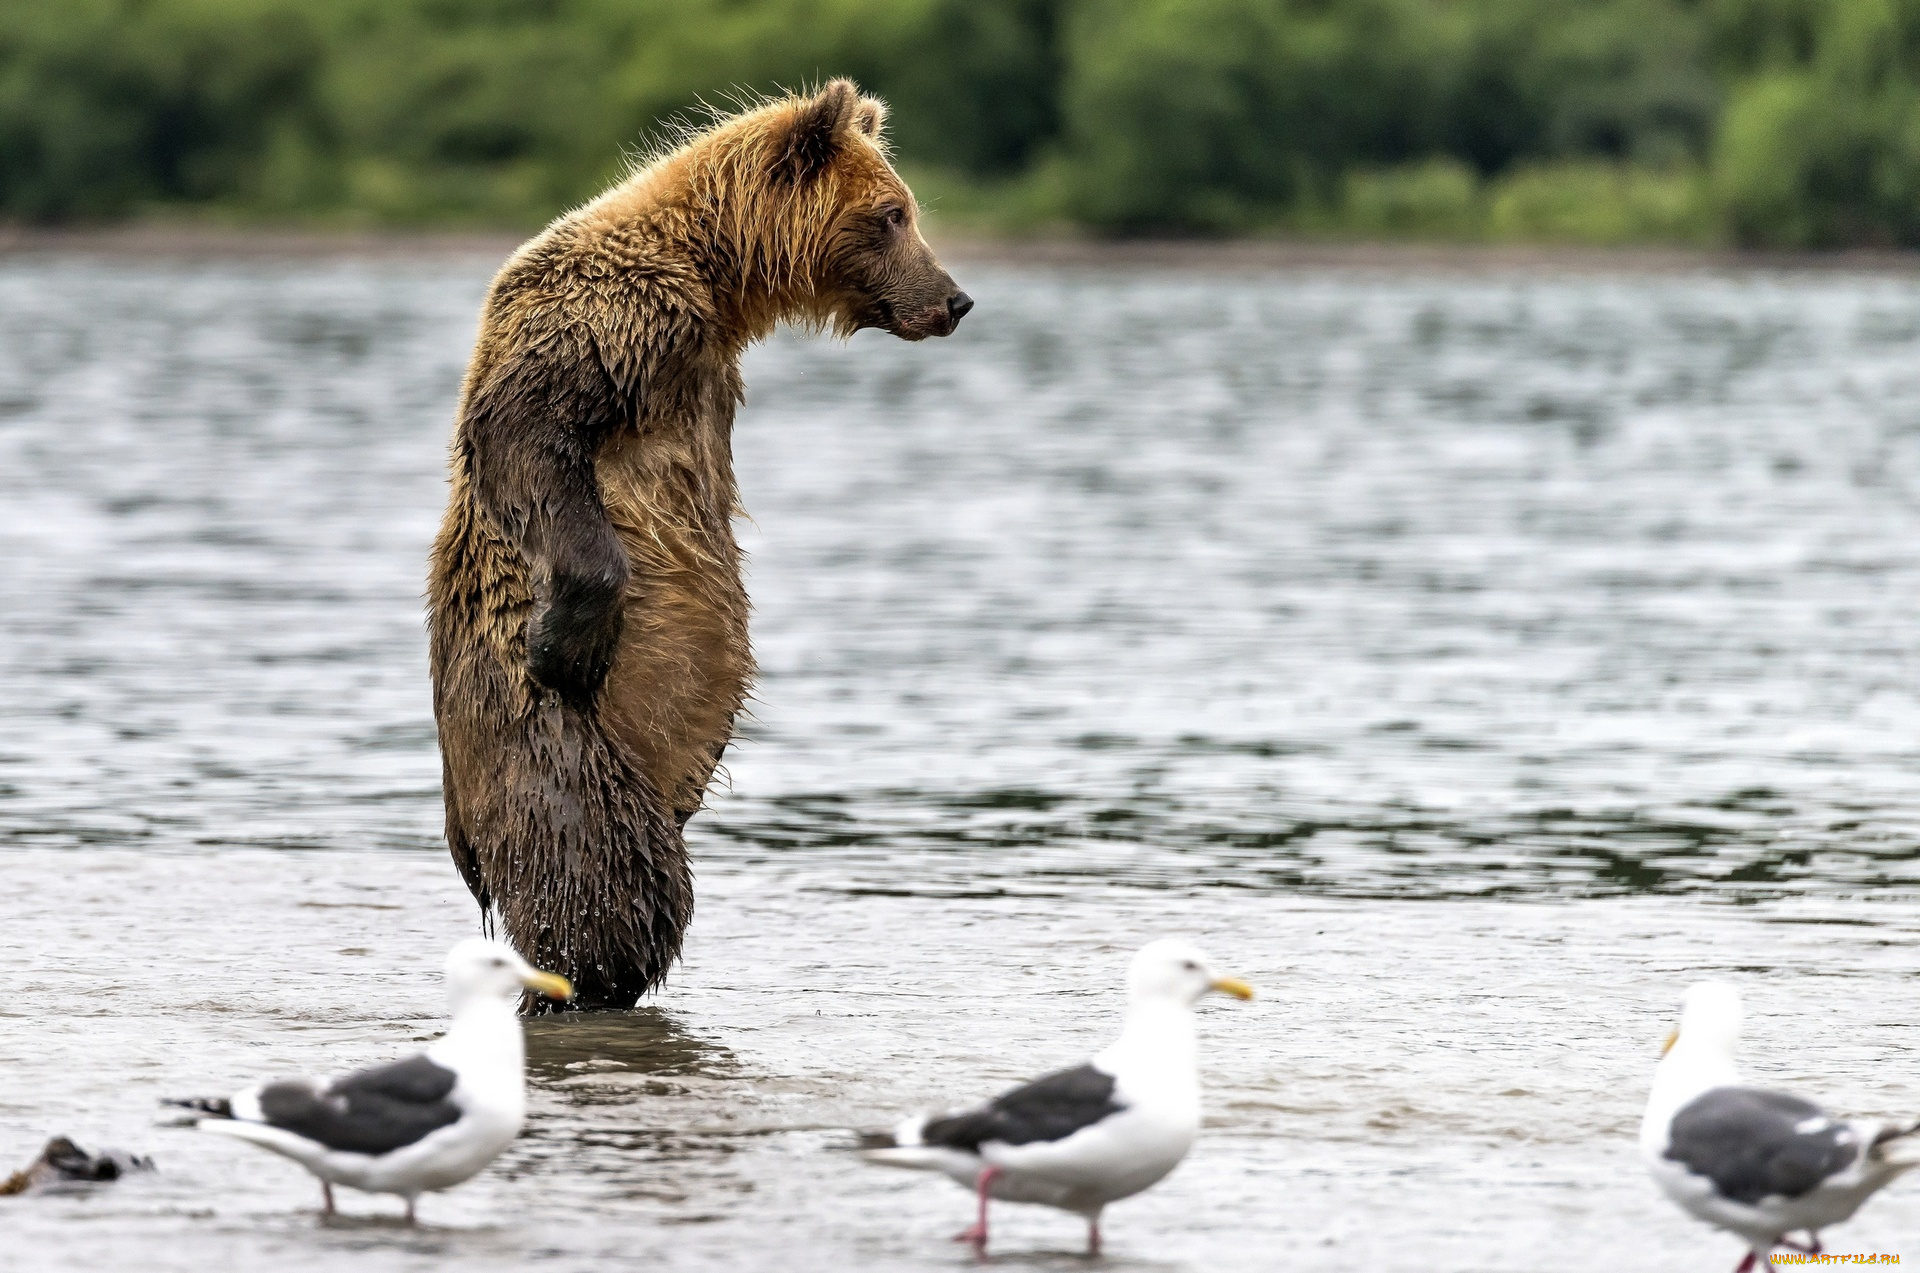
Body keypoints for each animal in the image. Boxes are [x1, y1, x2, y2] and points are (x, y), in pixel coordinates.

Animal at [435, 84, 975, 1013]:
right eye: (893, 215)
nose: (954, 299)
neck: (715, 281)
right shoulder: (608, 322)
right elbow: (529, 435)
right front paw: (565, 641)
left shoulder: (702, 368)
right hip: (546, 750)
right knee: (606, 884)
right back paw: (577, 980)